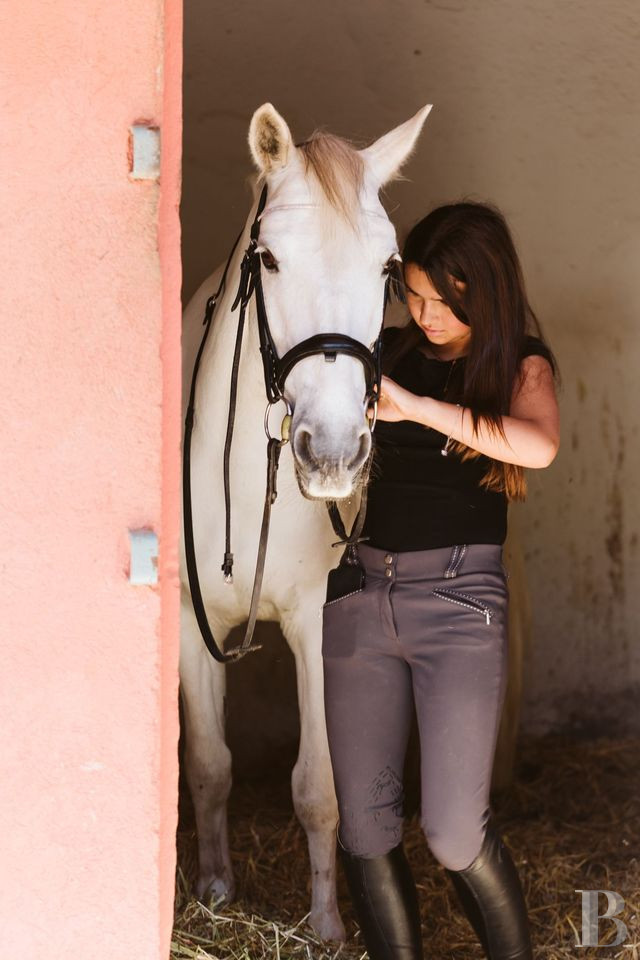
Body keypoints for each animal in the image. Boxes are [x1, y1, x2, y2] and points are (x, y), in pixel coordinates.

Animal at [179, 101, 432, 941]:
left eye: (387, 268)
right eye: (271, 260)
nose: (333, 450)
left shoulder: (318, 619)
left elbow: (319, 787)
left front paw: (324, 922)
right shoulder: (190, 625)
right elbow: (210, 766)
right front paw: (215, 890)